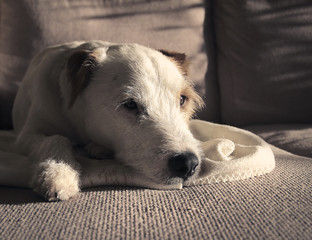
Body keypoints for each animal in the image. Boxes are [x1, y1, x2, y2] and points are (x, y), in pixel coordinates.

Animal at [13, 41, 205, 201]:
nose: (188, 164)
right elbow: (56, 138)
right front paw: (58, 173)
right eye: (130, 104)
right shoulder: (27, 135)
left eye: (182, 99)